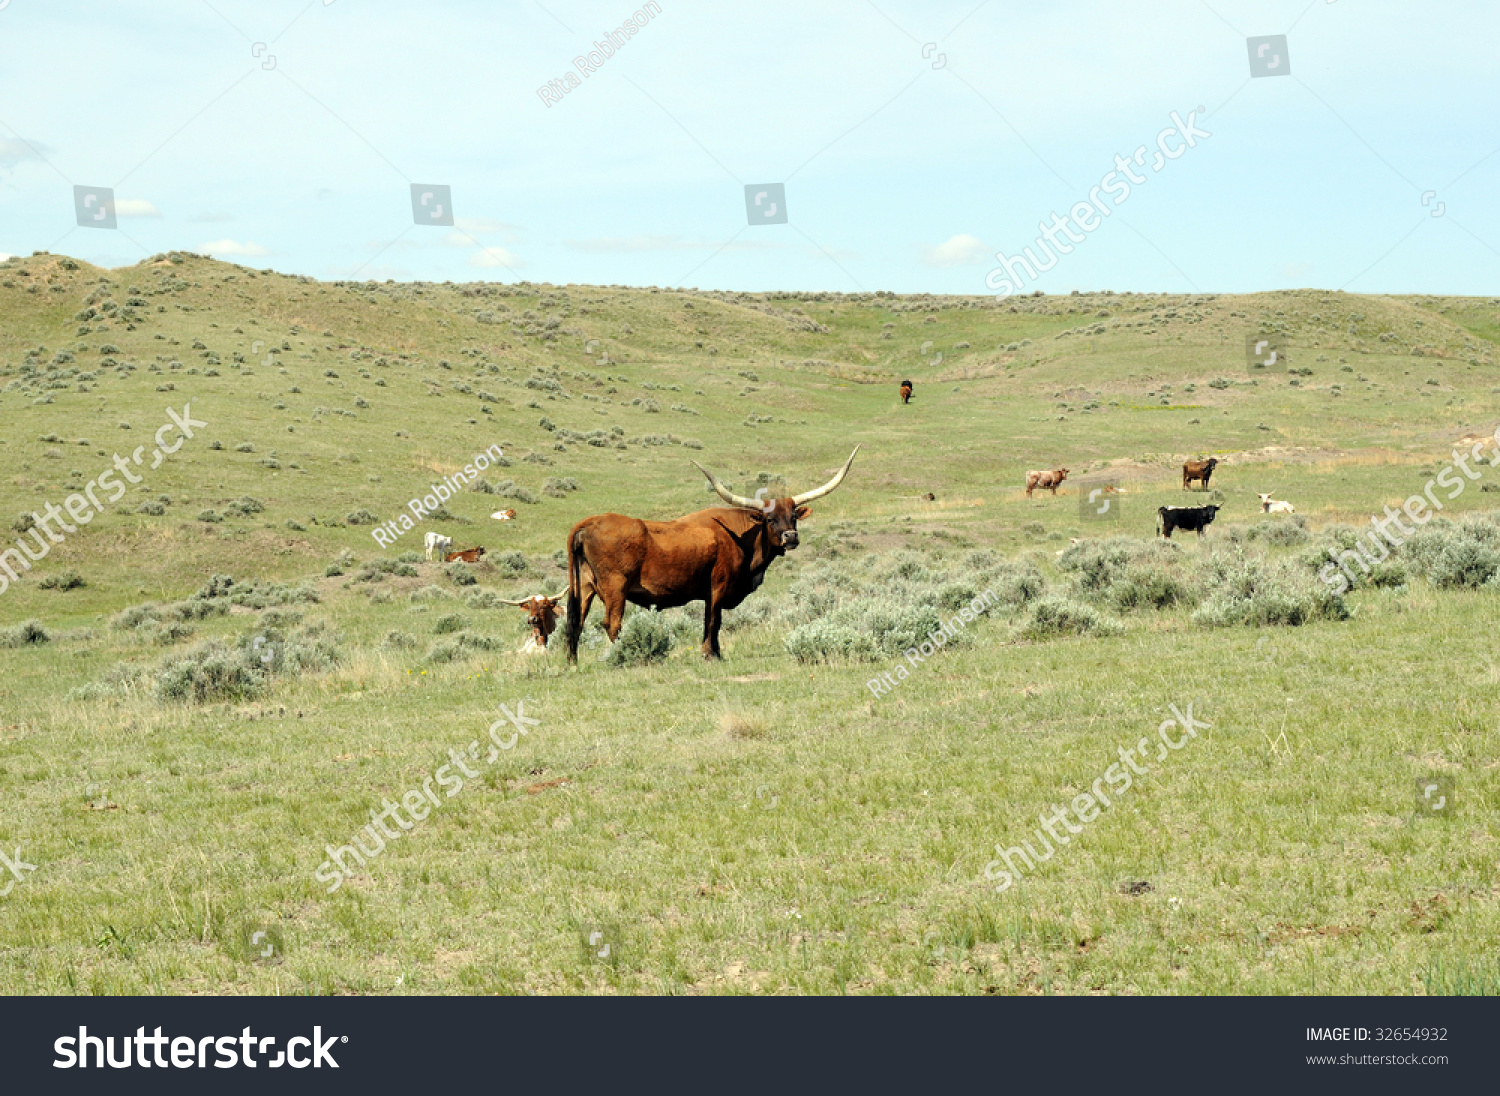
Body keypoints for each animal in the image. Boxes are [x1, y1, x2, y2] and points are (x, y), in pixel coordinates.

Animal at [564, 446, 864, 659]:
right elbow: (714, 621)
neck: (742, 538)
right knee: (611, 624)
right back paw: (621, 656)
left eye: (793, 516)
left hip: (585, 587)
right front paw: (711, 655)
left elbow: (711, 621)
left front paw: (715, 653)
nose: (790, 537)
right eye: (769, 519)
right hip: (615, 588)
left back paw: (572, 663)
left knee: (576, 623)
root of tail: (589, 522)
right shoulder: (718, 586)